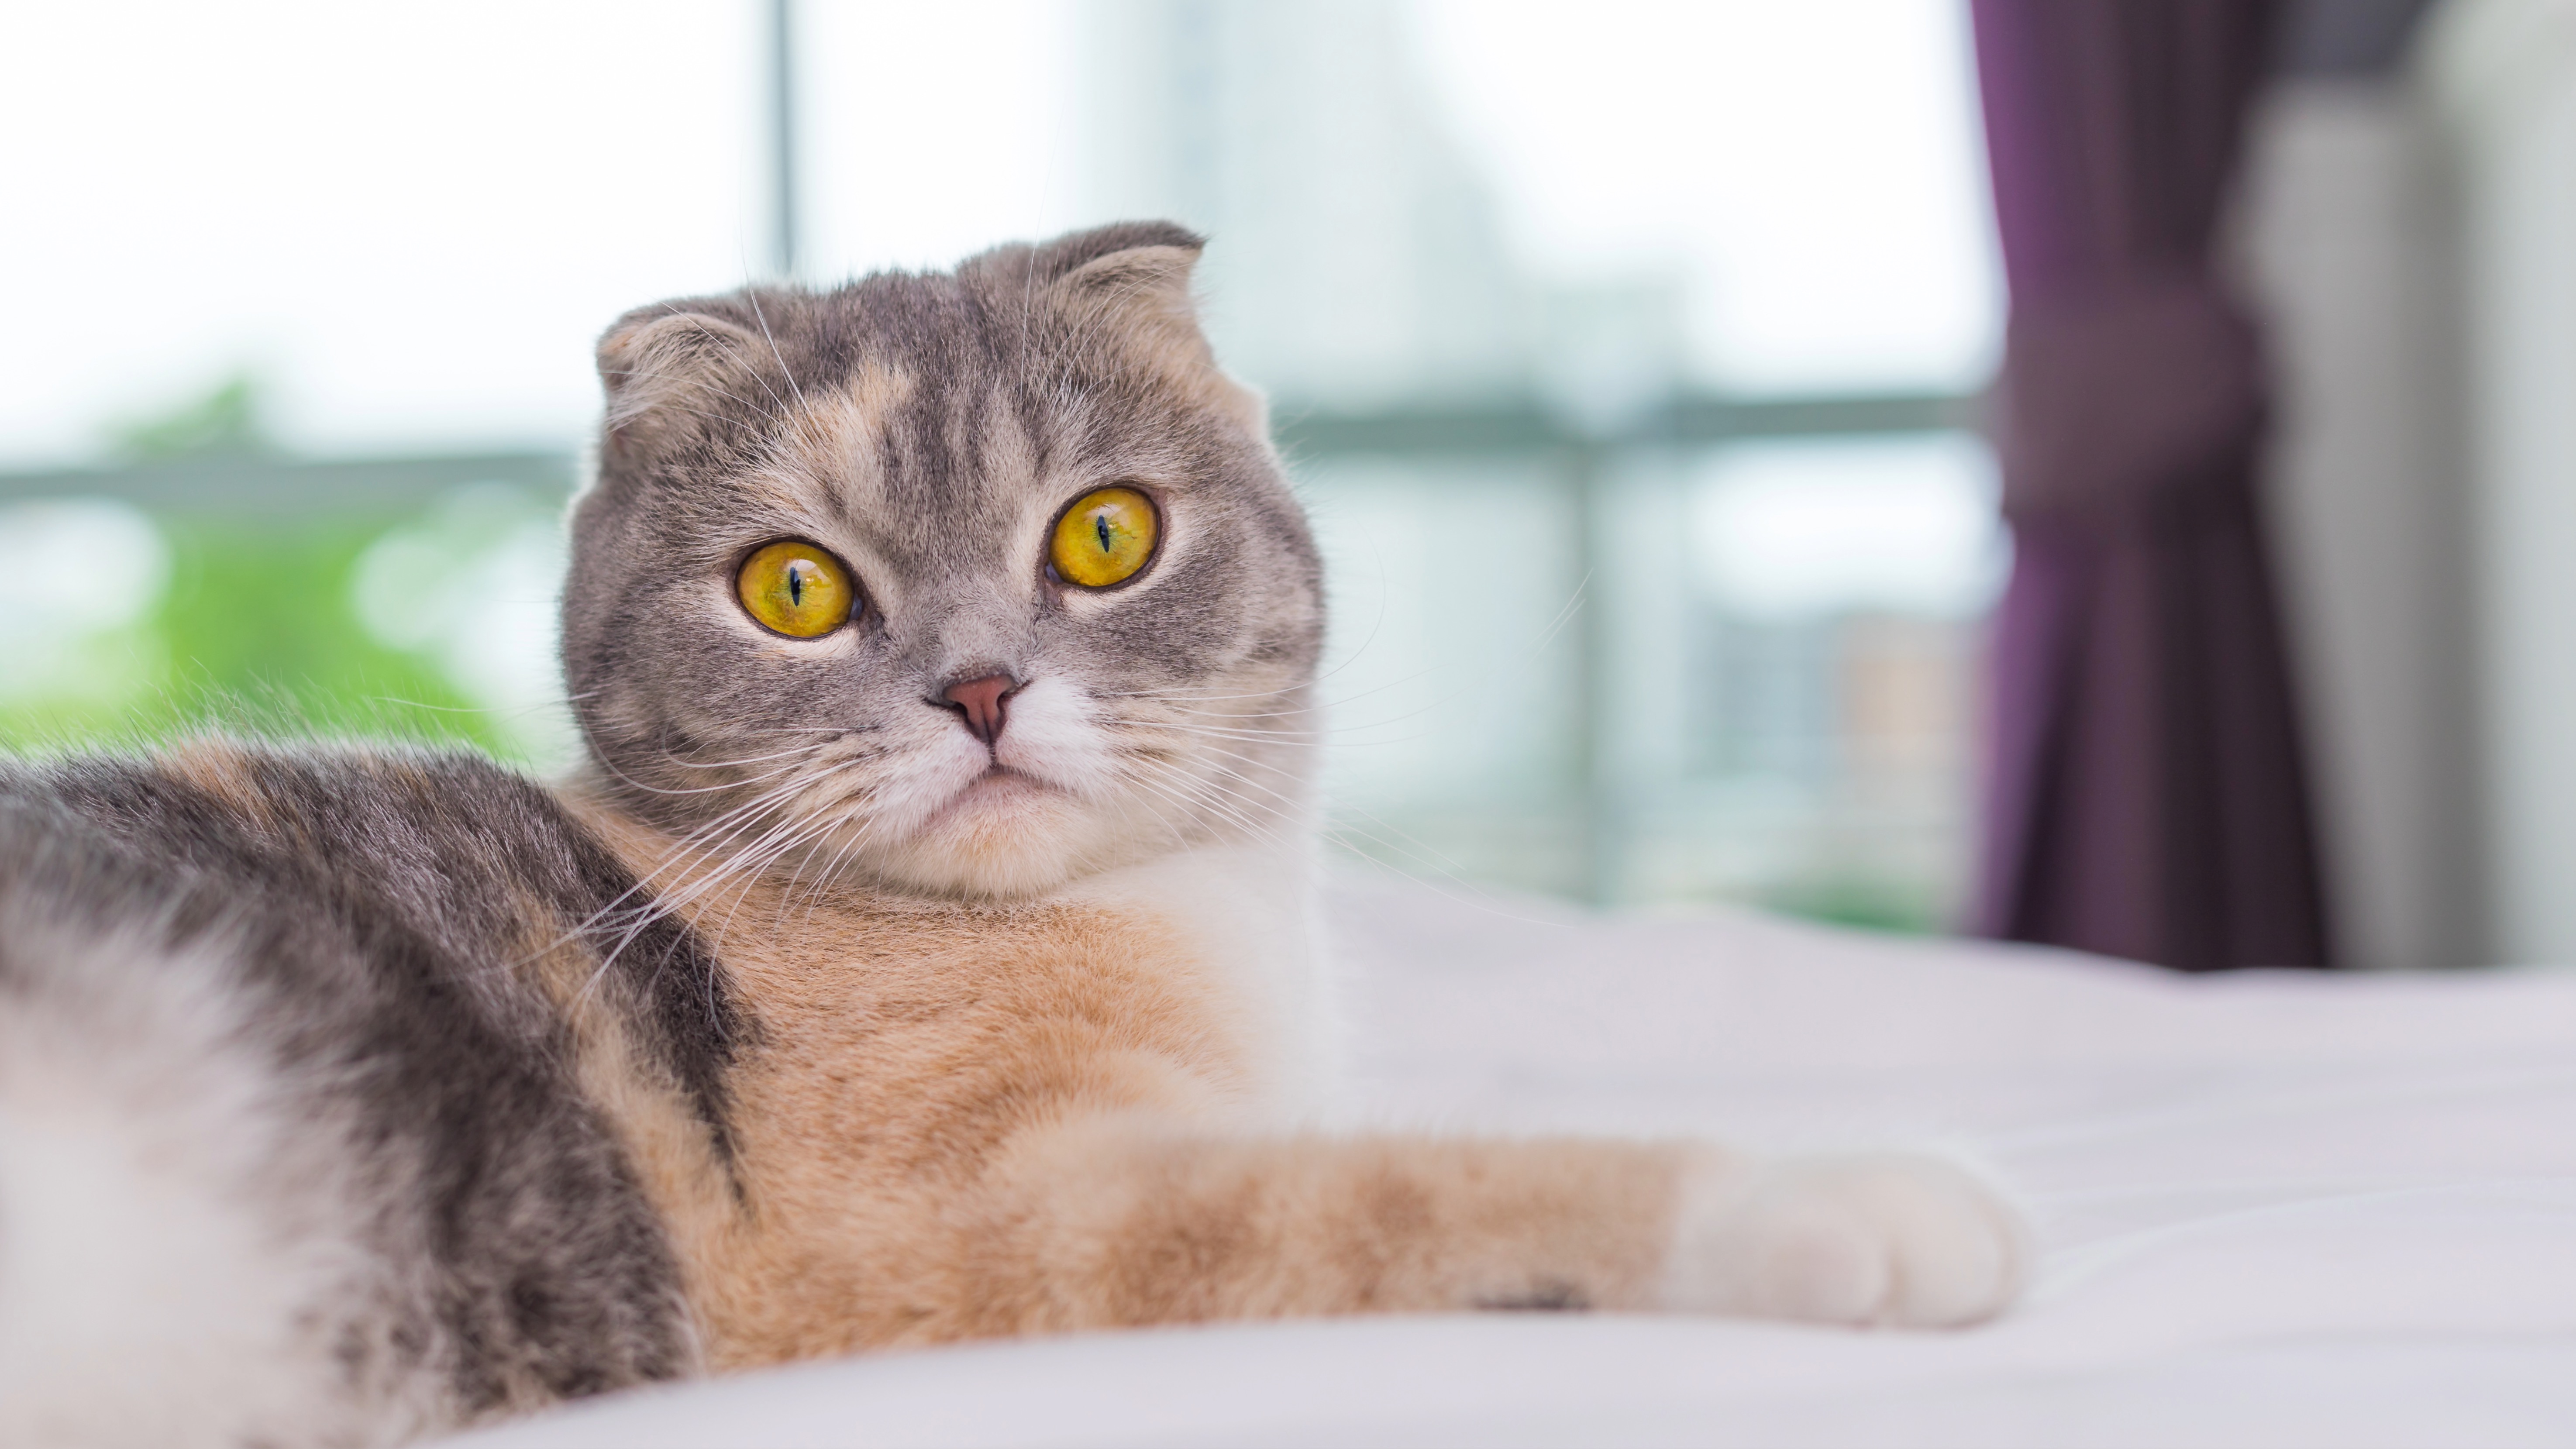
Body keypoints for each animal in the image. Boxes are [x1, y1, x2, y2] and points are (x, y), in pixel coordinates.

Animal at [0, 219, 2019, 1449]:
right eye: (793, 587)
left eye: (1106, 535)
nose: (978, 687)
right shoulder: (986, 1224)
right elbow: (1439, 1182)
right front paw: (1847, 1199)